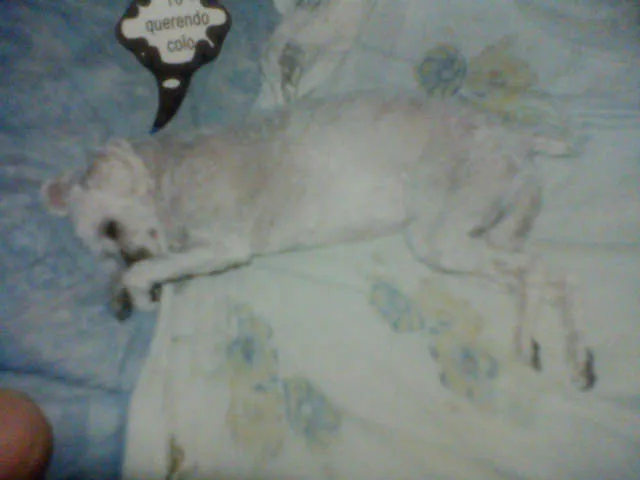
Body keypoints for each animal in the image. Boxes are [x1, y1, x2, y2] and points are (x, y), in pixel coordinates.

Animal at [41, 91, 595, 390]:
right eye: (104, 246)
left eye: (111, 229)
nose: (125, 256)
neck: (172, 172)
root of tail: (516, 137)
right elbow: (155, 265)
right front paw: (122, 290)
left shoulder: (222, 246)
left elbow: (152, 266)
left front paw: (137, 288)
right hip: (487, 234)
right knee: (548, 278)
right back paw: (568, 354)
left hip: (441, 237)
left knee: (542, 273)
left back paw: (535, 346)